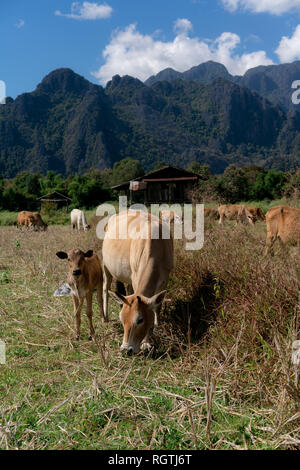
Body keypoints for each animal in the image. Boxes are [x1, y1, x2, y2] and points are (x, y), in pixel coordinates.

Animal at [102, 209, 173, 352]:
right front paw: (146, 342)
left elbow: (157, 307)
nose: (125, 350)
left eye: (140, 320)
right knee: (105, 288)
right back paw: (105, 318)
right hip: (106, 266)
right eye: (121, 319)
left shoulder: (165, 280)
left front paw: (152, 332)